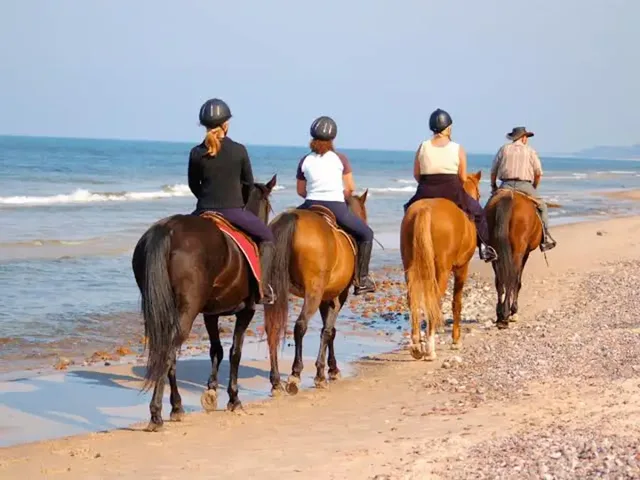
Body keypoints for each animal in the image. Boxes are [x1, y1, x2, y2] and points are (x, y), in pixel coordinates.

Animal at [131, 175, 277, 431]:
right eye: (267, 206)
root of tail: (168, 229)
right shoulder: (246, 311)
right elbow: (235, 351)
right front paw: (233, 398)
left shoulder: (210, 313)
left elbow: (216, 349)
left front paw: (211, 391)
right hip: (188, 310)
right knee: (169, 353)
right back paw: (156, 414)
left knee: (168, 353)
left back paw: (176, 407)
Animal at [263, 192, 370, 395]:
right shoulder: (338, 296)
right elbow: (328, 331)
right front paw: (323, 372)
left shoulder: (325, 298)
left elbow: (329, 330)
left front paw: (331, 368)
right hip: (313, 293)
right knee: (300, 325)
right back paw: (295, 374)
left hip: (273, 292)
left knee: (272, 328)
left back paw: (276, 381)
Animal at [400, 171, 483, 361]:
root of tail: (425, 209)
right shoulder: (462, 268)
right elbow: (456, 302)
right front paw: (456, 341)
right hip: (442, 271)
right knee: (435, 301)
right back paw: (430, 348)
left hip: (410, 267)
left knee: (413, 299)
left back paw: (416, 346)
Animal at [485, 189, 542, 329]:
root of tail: (508, 196)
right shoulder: (525, 254)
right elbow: (518, 280)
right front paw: (514, 310)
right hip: (518, 251)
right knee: (512, 278)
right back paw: (507, 313)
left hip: (496, 252)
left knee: (500, 281)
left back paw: (500, 314)